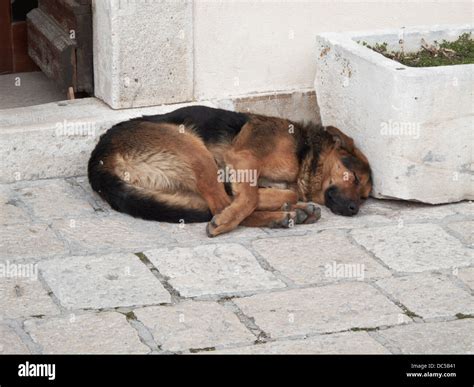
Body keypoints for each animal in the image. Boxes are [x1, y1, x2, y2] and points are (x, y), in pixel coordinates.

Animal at [87, 107, 372, 239]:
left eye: (365, 197)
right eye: (355, 177)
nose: (354, 210)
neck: (305, 153)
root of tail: (99, 160)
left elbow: (274, 192)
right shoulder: (242, 157)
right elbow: (250, 197)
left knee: (217, 203)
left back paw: (291, 213)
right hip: (195, 151)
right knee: (221, 206)